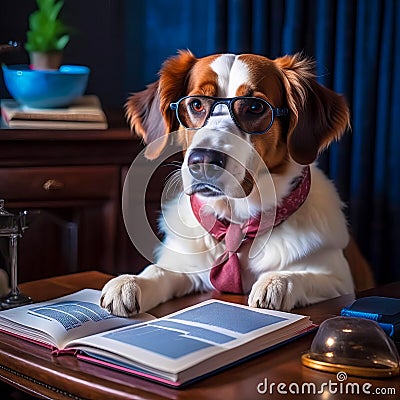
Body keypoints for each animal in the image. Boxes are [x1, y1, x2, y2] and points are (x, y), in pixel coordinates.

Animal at [101, 51, 372, 318]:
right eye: (196, 104)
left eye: (254, 107)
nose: (203, 160)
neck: (236, 223)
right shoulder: (186, 267)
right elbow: (160, 270)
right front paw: (131, 281)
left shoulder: (339, 279)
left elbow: (307, 277)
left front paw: (277, 282)